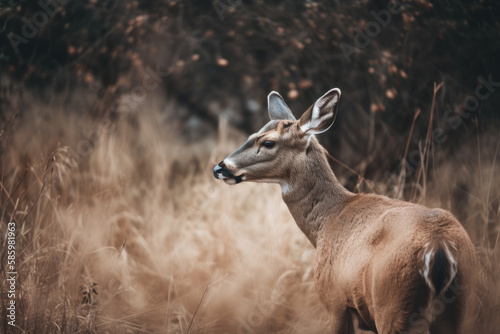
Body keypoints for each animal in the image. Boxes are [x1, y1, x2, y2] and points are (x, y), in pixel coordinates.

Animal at [211, 88, 476, 334]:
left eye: (268, 142)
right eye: (251, 134)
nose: (220, 168)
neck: (327, 221)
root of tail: (439, 246)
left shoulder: (335, 302)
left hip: (394, 305)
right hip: (457, 308)